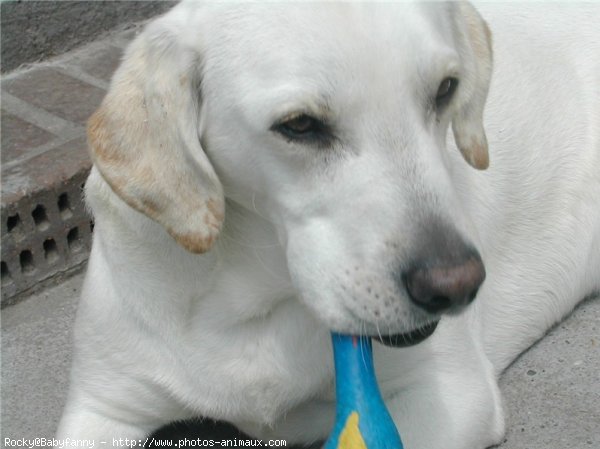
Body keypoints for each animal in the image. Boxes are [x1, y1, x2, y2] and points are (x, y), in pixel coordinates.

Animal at [56, 1, 600, 446]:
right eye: (299, 125)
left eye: (446, 90)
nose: (455, 286)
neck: (248, 298)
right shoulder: (104, 408)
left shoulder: (449, 392)